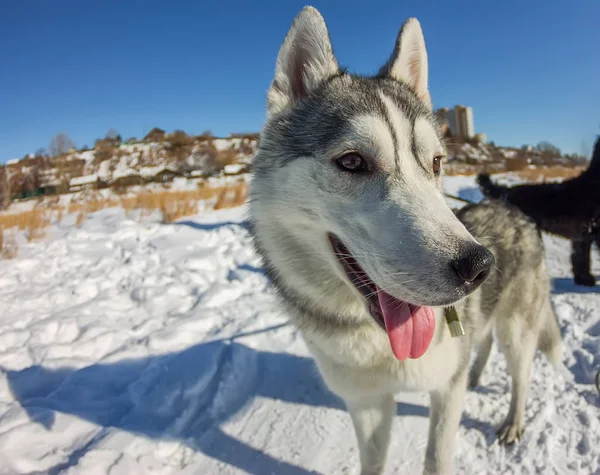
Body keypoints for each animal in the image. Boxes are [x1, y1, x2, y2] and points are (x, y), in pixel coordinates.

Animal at [248, 6, 564, 472]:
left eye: (436, 163)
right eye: (352, 161)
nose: (478, 266)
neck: (373, 338)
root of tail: (510, 206)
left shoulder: (444, 392)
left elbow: (436, 456)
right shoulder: (367, 403)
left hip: (518, 330)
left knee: (520, 374)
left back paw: (512, 422)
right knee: (482, 343)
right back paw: (476, 373)